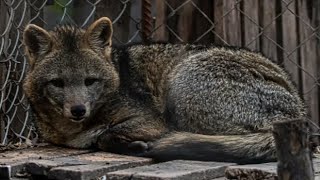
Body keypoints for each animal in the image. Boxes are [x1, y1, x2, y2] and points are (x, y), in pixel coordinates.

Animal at [21, 17, 304, 165]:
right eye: (58, 83)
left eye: (90, 81)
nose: (78, 110)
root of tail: (299, 111)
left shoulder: (153, 120)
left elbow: (105, 135)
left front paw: (132, 144)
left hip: (181, 84)